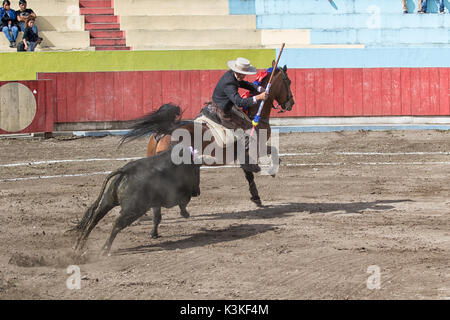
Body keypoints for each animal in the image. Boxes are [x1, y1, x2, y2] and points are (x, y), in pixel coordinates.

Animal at [72, 146, 200, 255]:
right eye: (197, 170)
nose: (197, 192)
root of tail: (125, 170)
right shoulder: (177, 196)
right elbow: (182, 204)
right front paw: (185, 214)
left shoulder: (156, 203)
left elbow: (157, 217)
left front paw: (153, 234)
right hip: (134, 210)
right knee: (116, 224)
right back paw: (104, 249)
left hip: (108, 201)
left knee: (95, 219)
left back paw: (79, 246)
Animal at [121, 64, 294, 208]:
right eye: (289, 82)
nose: (290, 103)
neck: (253, 114)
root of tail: (164, 132)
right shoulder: (256, 147)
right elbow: (272, 155)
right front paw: (271, 172)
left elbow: (249, 174)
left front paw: (256, 197)